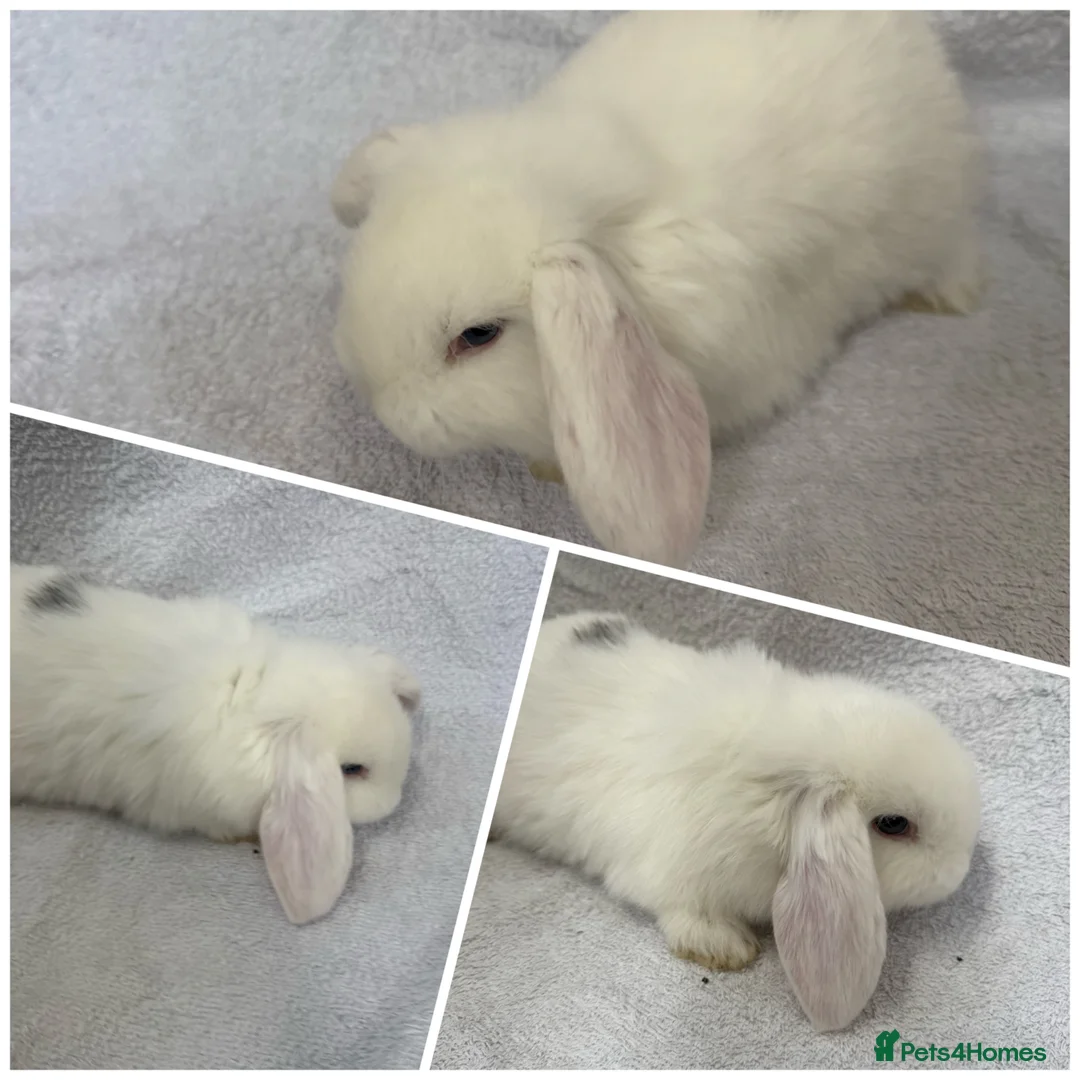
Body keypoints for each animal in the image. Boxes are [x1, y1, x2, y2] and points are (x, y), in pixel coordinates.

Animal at [492, 612, 981, 1032]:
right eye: (894, 824)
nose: (960, 872)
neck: (764, 796)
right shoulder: (668, 873)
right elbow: (680, 909)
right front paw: (726, 948)